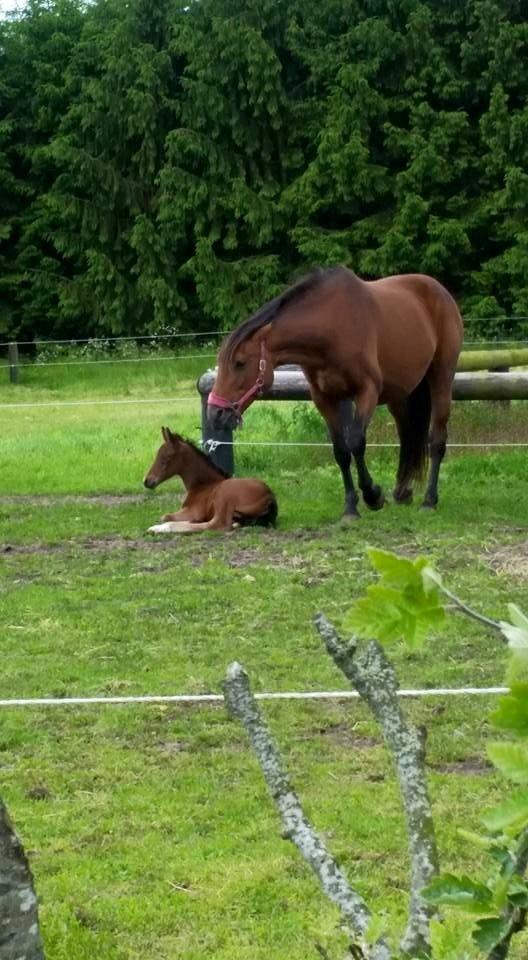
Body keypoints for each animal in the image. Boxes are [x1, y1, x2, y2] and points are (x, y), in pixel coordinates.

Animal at [142, 428, 278, 532]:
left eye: (168, 456)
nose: (147, 481)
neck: (203, 485)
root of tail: (269, 496)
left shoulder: (193, 511)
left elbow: (165, 516)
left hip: (224, 497)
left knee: (216, 525)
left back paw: (158, 528)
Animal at [206, 264, 462, 516]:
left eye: (239, 363)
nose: (215, 414)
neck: (331, 328)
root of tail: (439, 290)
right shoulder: (324, 399)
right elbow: (341, 451)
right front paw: (350, 507)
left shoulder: (367, 391)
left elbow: (356, 442)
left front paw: (373, 496)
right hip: (399, 396)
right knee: (407, 437)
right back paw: (402, 492)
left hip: (441, 378)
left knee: (437, 440)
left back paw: (429, 500)